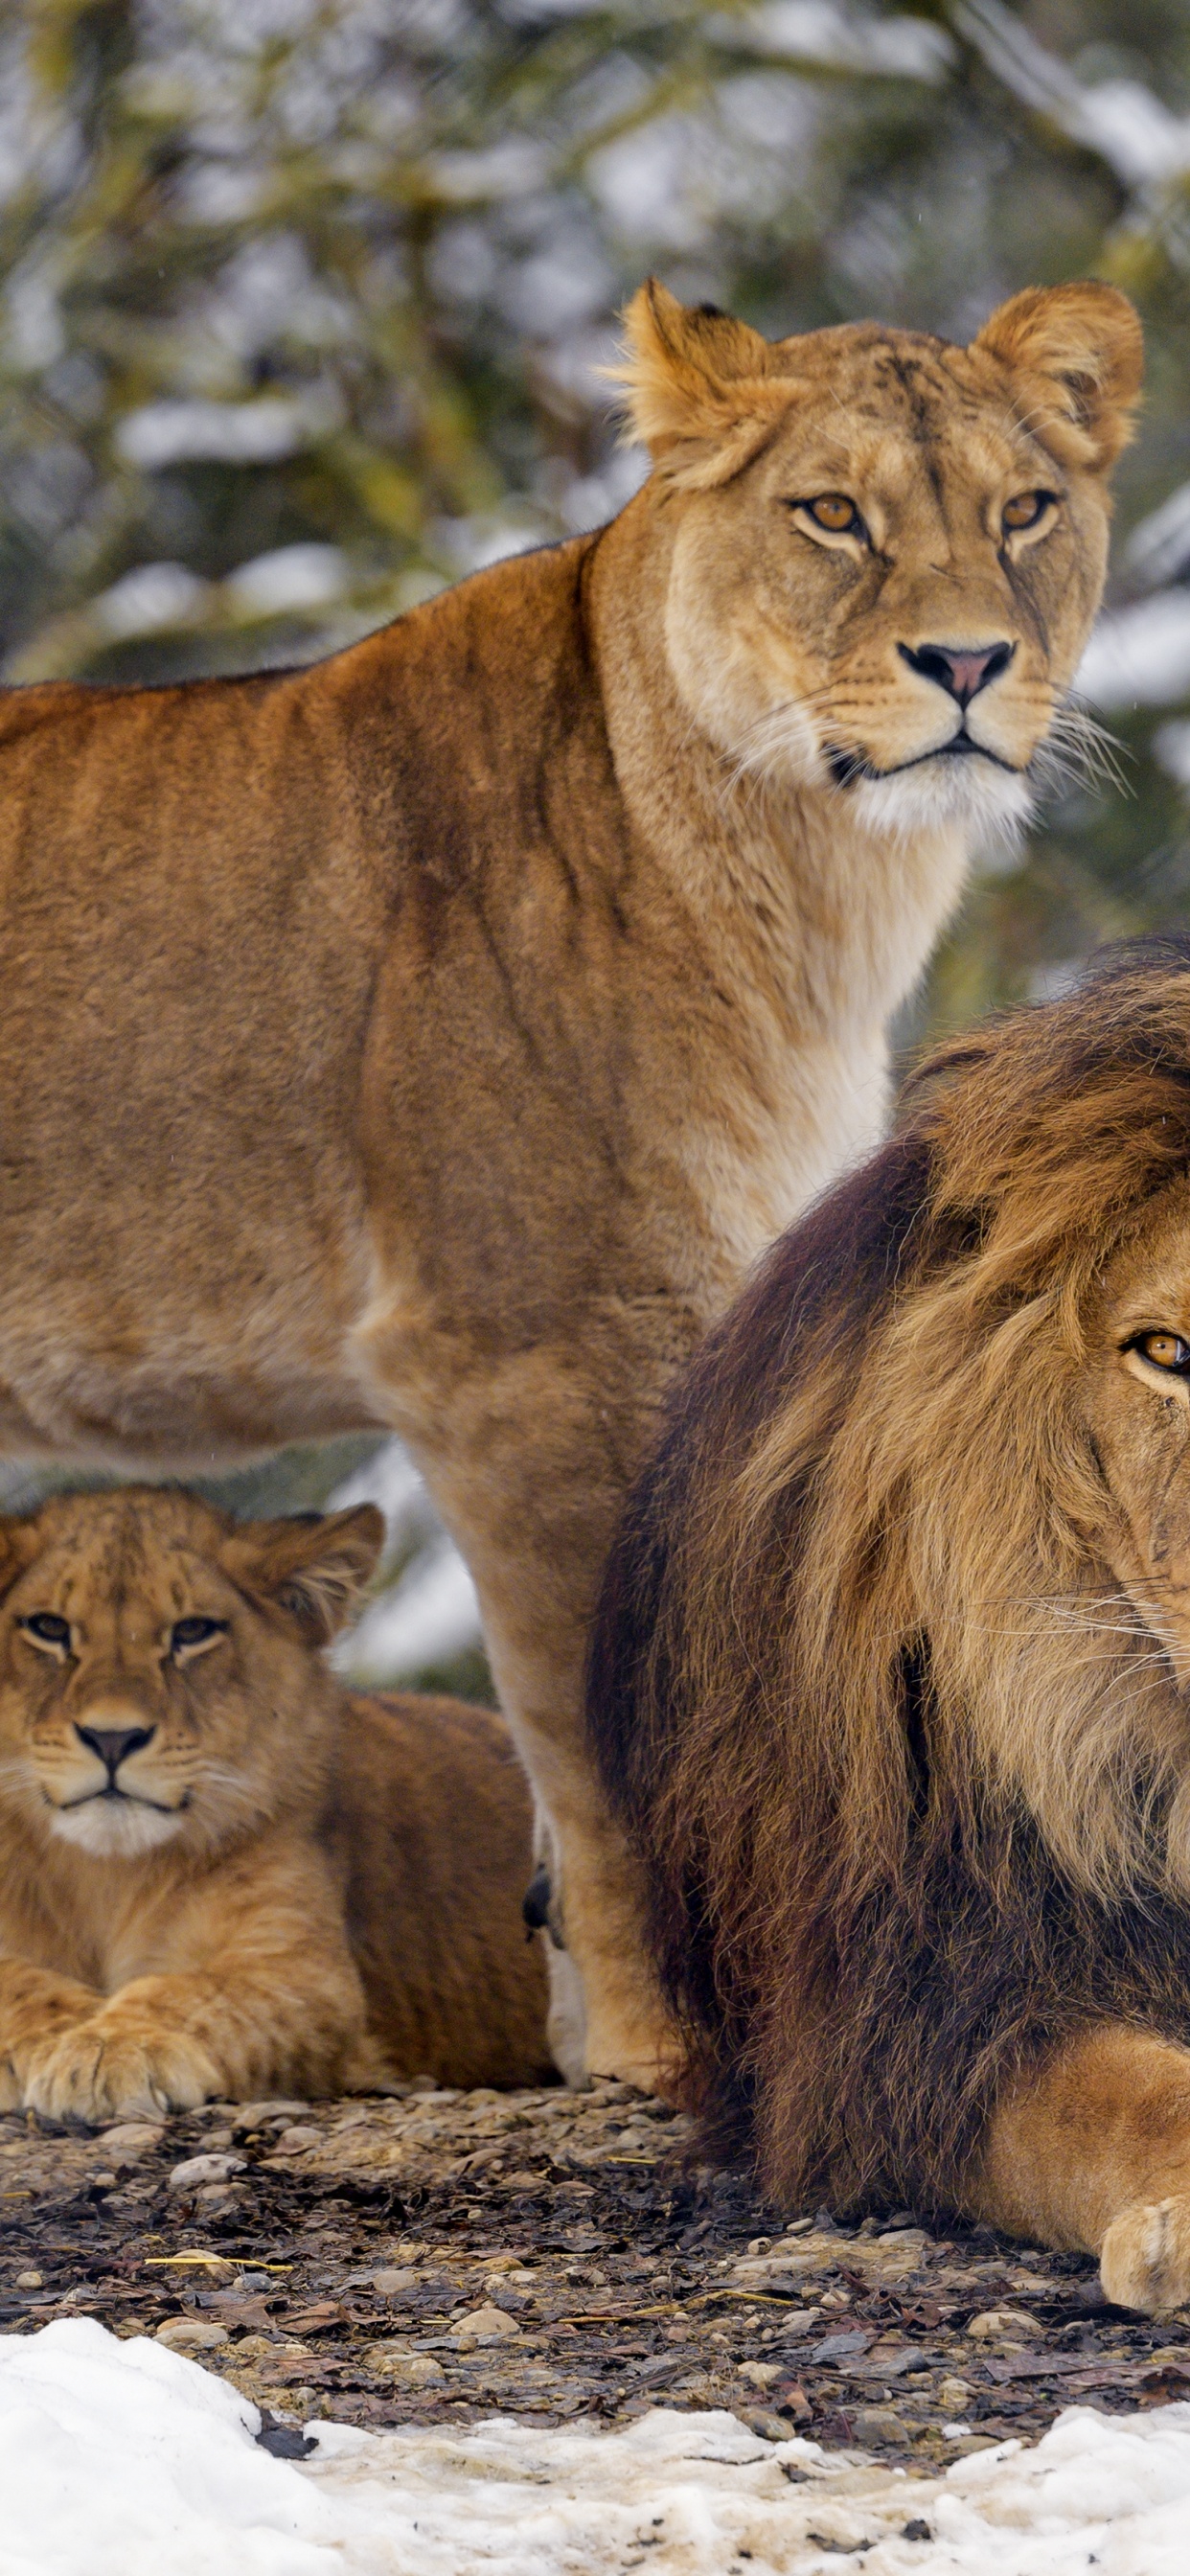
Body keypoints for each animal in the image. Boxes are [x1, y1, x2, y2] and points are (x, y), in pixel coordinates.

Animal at [0, 1486, 551, 2121]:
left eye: (193, 1631)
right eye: (48, 1628)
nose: (113, 1738)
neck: (105, 1876)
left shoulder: (302, 1971)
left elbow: (194, 1993)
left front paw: (111, 2047)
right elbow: (15, 1981)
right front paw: (66, 2036)